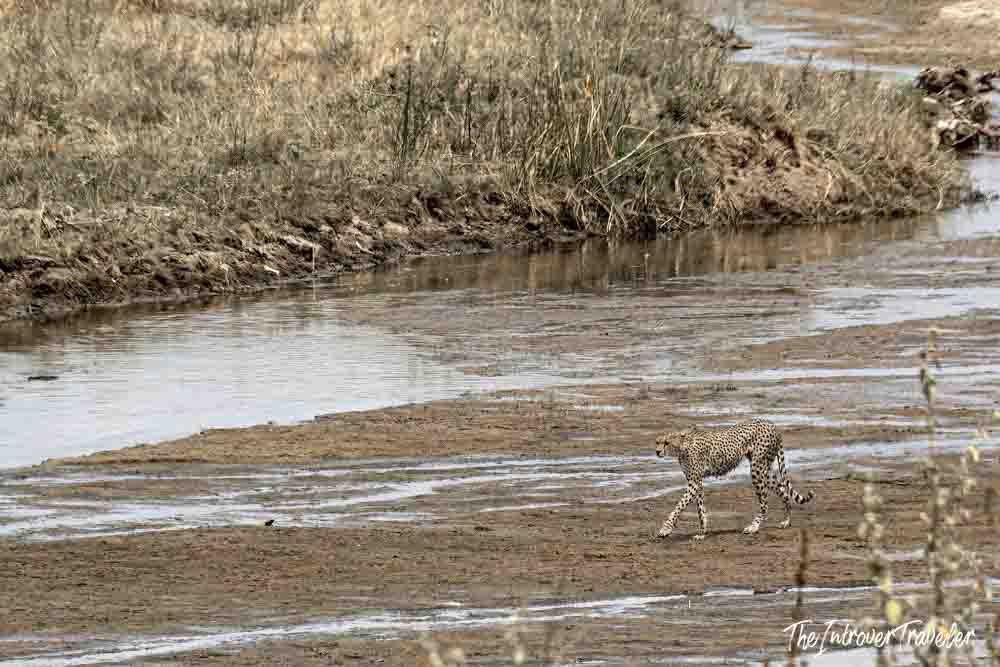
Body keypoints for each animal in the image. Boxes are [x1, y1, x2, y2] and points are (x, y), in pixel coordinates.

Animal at [654, 418, 814, 540]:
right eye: (657, 442)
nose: (657, 452)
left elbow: (678, 507)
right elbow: (700, 510)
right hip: (764, 469)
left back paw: (754, 527)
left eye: (666, 443)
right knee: (783, 491)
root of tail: (771, 424)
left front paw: (665, 529)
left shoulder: (693, 483)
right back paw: (786, 521)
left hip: (757, 469)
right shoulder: (696, 482)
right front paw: (702, 533)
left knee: (765, 502)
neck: (683, 446)